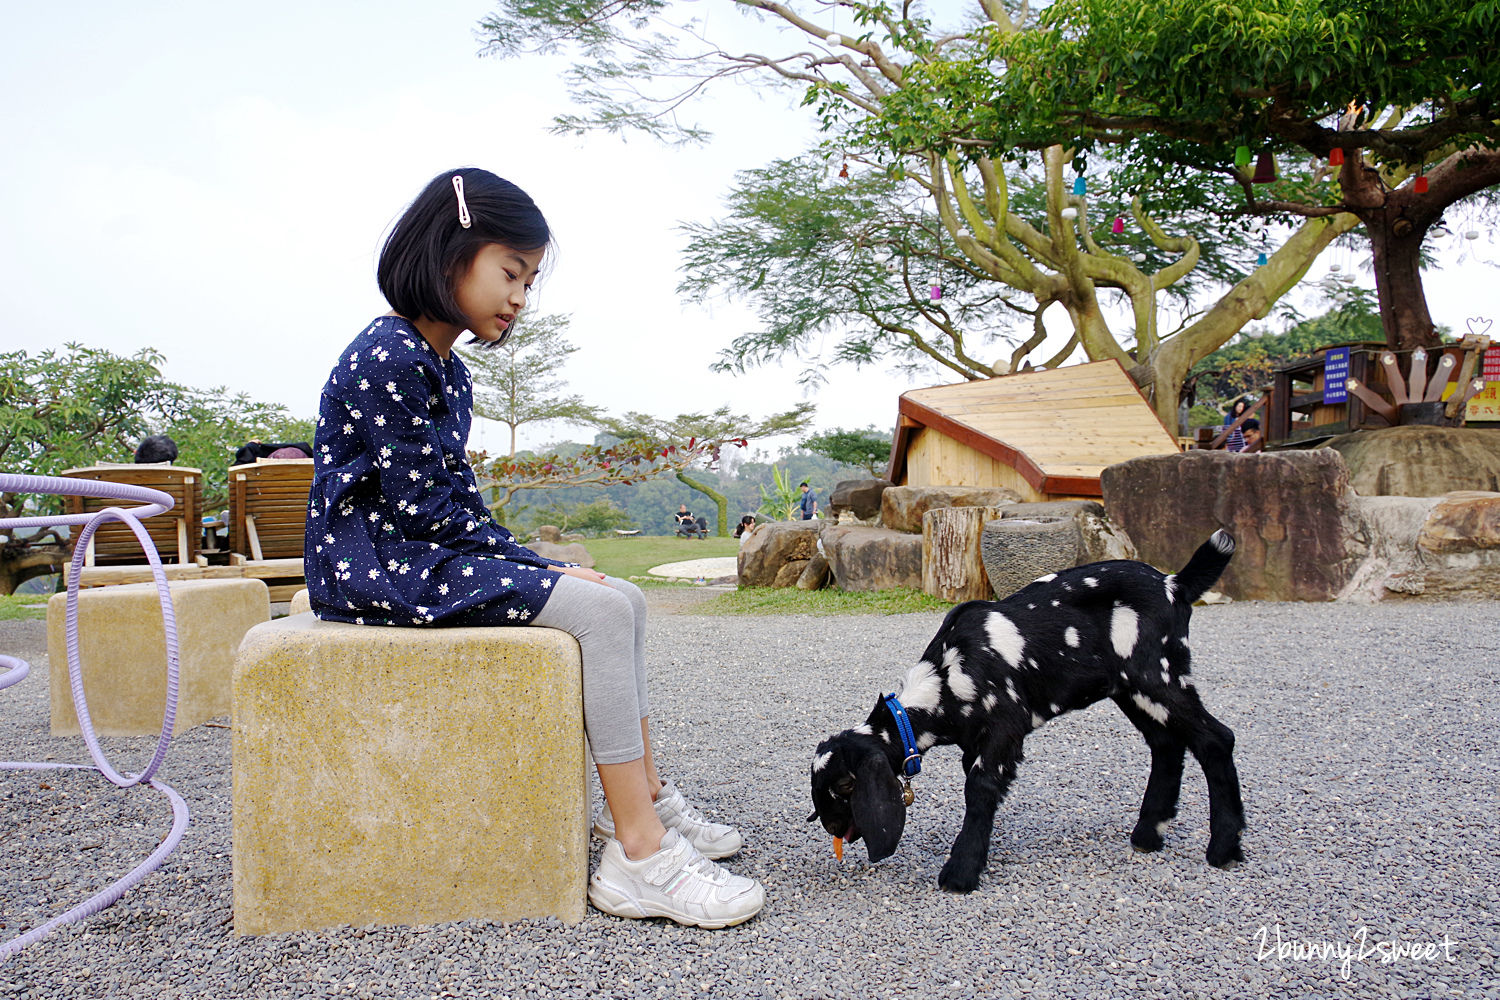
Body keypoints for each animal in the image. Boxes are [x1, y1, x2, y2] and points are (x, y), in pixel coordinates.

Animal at [810, 530, 1242, 893]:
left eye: (845, 785)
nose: (831, 825)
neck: (947, 677)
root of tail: (1175, 583)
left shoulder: (1004, 729)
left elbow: (981, 788)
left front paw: (960, 873)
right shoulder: (975, 742)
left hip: (1158, 675)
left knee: (1216, 738)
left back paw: (1224, 848)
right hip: (1132, 689)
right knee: (1167, 743)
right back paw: (1149, 833)